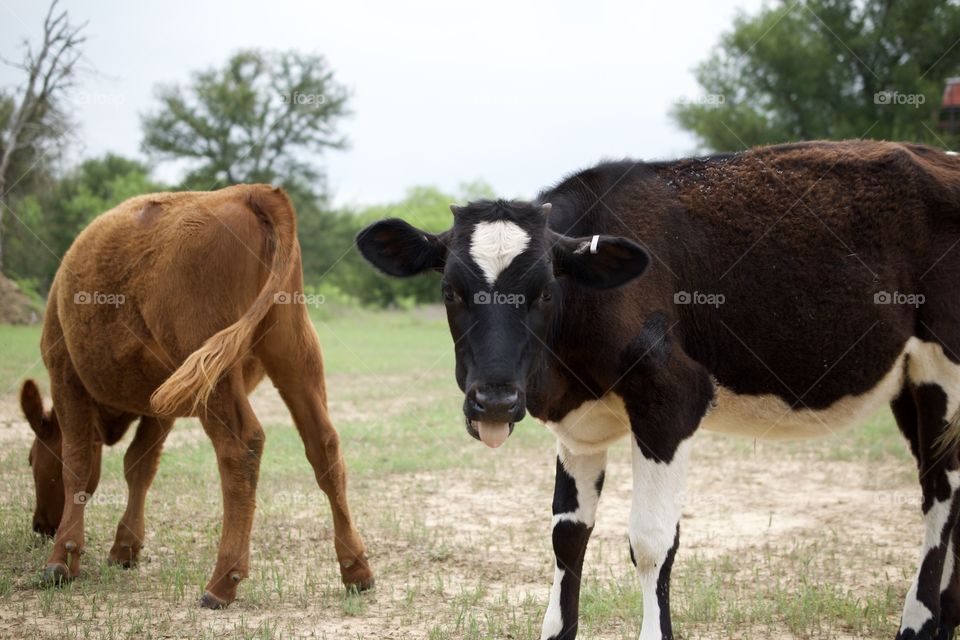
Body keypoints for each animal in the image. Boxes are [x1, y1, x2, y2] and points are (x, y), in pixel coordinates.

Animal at [21, 182, 376, 608]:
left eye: (31, 459)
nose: (40, 525)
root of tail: (250, 191)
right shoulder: (160, 404)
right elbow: (139, 465)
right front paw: (124, 548)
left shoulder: (65, 376)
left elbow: (77, 464)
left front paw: (62, 559)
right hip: (293, 351)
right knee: (323, 443)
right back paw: (356, 569)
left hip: (212, 365)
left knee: (241, 446)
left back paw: (222, 581)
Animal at [356, 141, 960, 640]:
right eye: (450, 291)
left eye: (545, 290)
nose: (495, 402)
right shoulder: (578, 429)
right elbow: (567, 536)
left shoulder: (671, 402)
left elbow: (650, 542)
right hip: (912, 383)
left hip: (944, 374)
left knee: (941, 497)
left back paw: (919, 622)